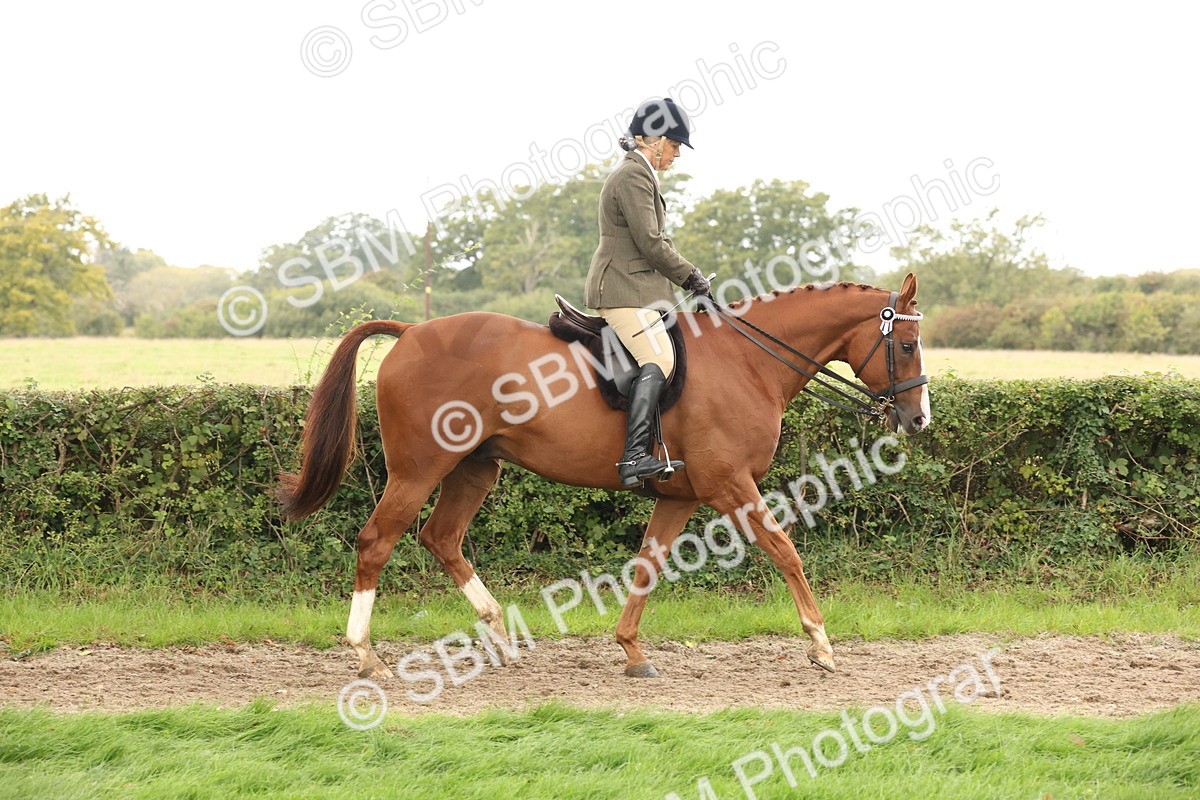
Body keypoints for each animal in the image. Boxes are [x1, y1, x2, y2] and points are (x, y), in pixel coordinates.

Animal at [277, 274, 930, 681]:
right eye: (909, 344)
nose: (918, 418)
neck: (747, 362)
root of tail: (412, 332)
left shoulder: (681, 495)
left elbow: (648, 565)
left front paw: (632, 650)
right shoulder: (730, 487)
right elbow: (784, 549)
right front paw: (820, 643)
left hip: (474, 468)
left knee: (441, 538)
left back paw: (499, 636)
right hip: (417, 471)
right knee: (376, 542)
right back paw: (367, 657)